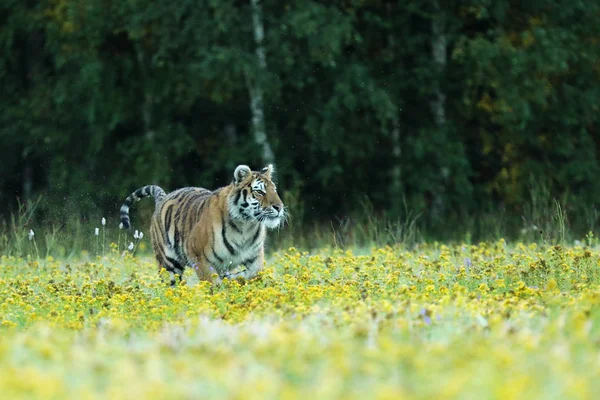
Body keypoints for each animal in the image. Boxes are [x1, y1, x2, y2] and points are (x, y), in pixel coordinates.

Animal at [119, 164, 286, 286]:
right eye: (260, 192)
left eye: (274, 190)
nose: (279, 207)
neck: (245, 226)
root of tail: (163, 197)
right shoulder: (198, 255)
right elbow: (212, 282)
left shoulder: (255, 256)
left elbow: (254, 273)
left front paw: (234, 279)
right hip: (169, 263)